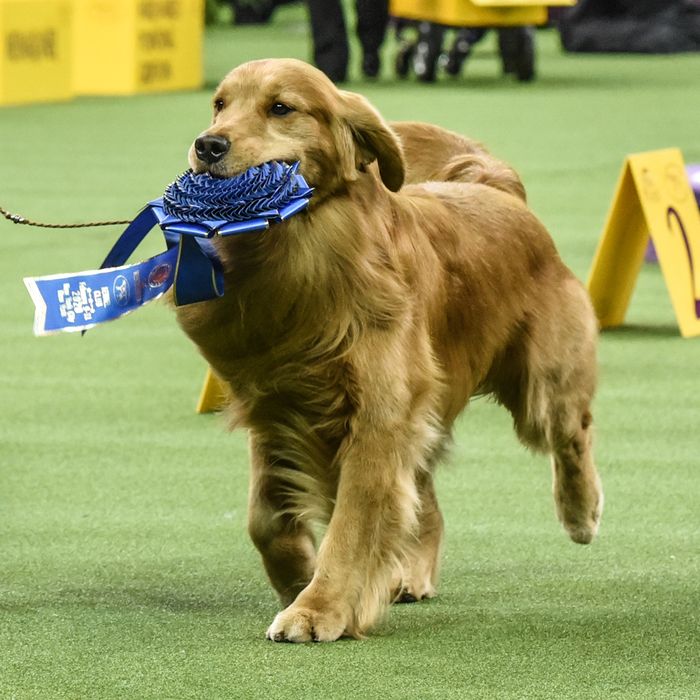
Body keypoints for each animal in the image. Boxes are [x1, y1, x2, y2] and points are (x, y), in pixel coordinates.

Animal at [175, 58, 600, 640]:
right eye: (219, 105)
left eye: (281, 107)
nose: (208, 144)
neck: (301, 254)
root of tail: (498, 190)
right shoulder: (275, 404)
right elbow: (265, 519)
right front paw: (298, 577)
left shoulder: (377, 417)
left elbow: (352, 526)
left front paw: (318, 608)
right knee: (425, 500)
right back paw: (410, 573)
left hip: (542, 382)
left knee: (570, 434)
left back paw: (581, 513)